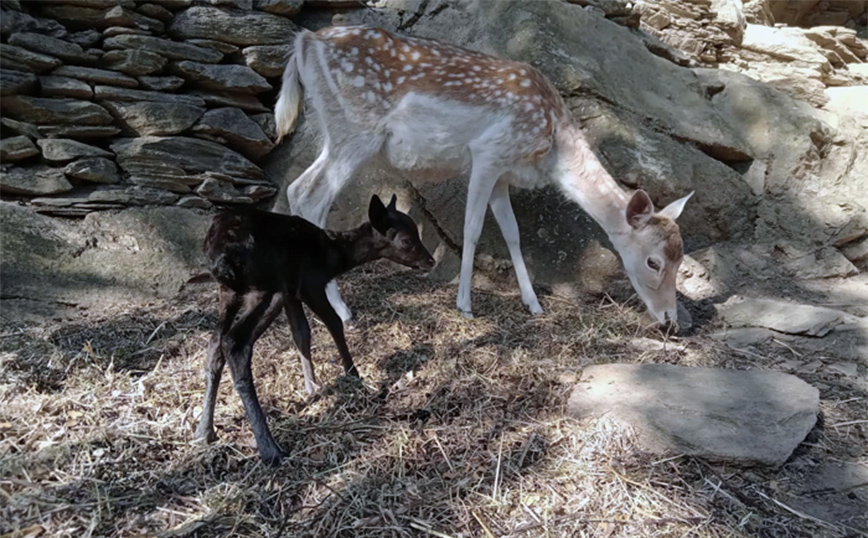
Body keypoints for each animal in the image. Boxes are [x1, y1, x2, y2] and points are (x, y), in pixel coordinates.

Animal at [274, 25, 696, 324]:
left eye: (681, 260)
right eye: (654, 261)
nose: (670, 319)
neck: (552, 142)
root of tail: (304, 41)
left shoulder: (504, 176)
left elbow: (512, 233)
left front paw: (533, 304)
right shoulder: (487, 154)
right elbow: (473, 229)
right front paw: (464, 304)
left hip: (335, 131)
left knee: (296, 188)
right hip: (356, 129)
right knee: (313, 196)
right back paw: (341, 310)